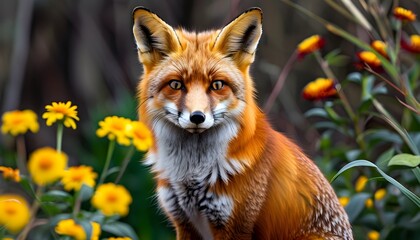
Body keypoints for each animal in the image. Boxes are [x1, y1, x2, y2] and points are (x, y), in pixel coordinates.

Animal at [133, 6, 352, 239]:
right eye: (176, 84)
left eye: (217, 85)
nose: (197, 117)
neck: (192, 174)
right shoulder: (184, 223)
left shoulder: (236, 225)